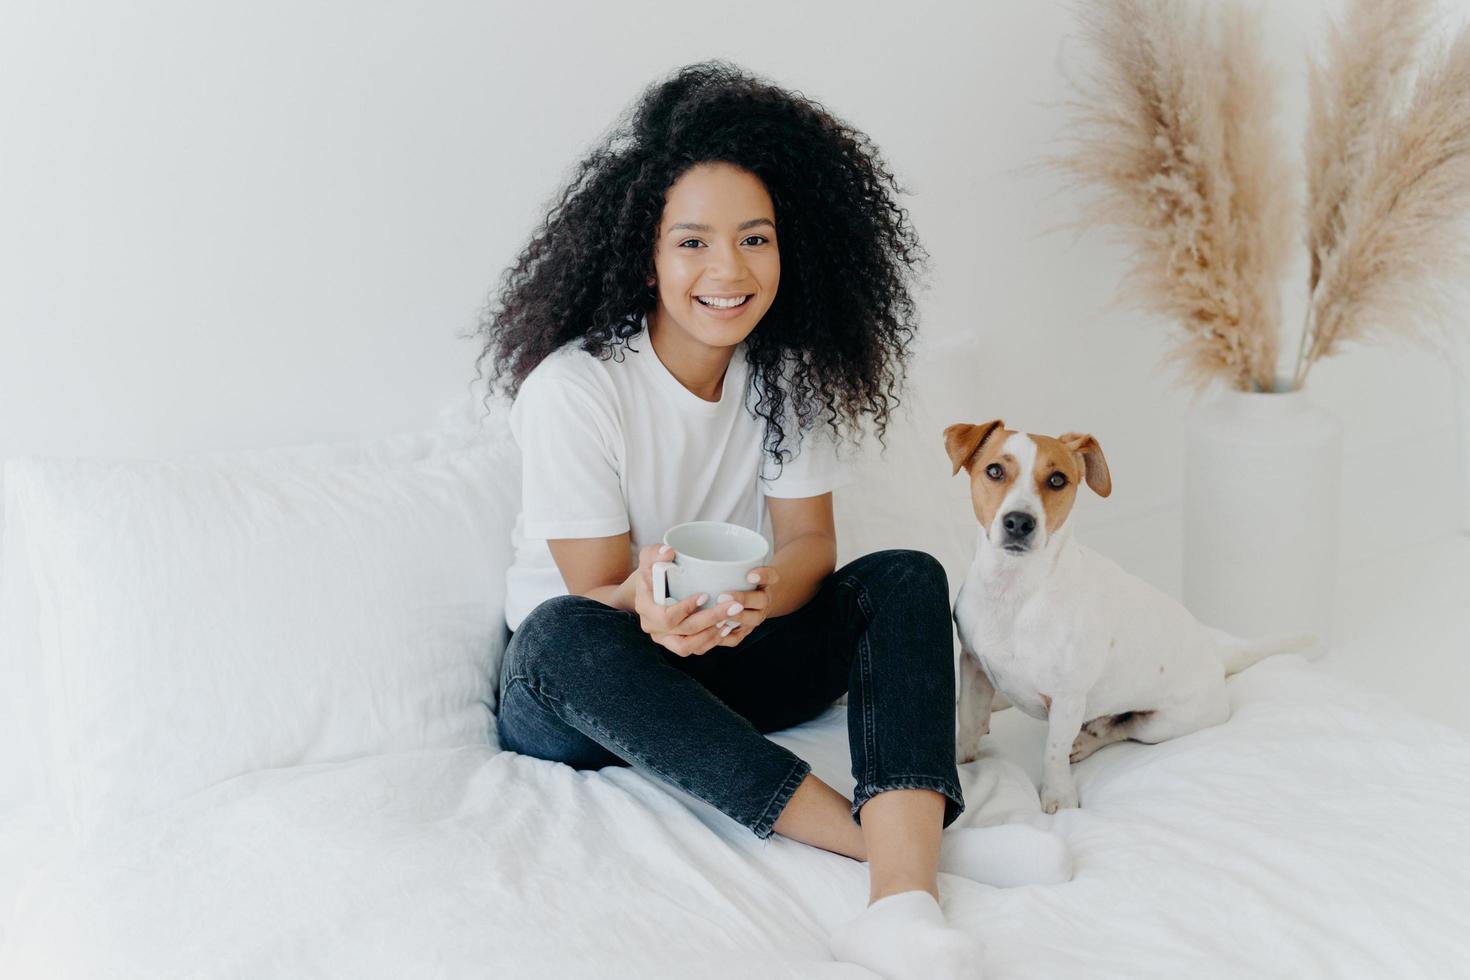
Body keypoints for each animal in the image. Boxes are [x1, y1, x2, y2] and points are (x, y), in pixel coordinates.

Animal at [952, 420, 1323, 811]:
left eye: (1057, 480)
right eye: (995, 470)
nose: (1019, 522)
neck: (1013, 592)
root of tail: (1217, 654)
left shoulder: (1068, 699)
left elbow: (1054, 752)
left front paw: (1058, 795)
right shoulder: (973, 666)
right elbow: (967, 720)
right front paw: (961, 762)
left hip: (1161, 725)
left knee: (1119, 730)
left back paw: (1085, 740)